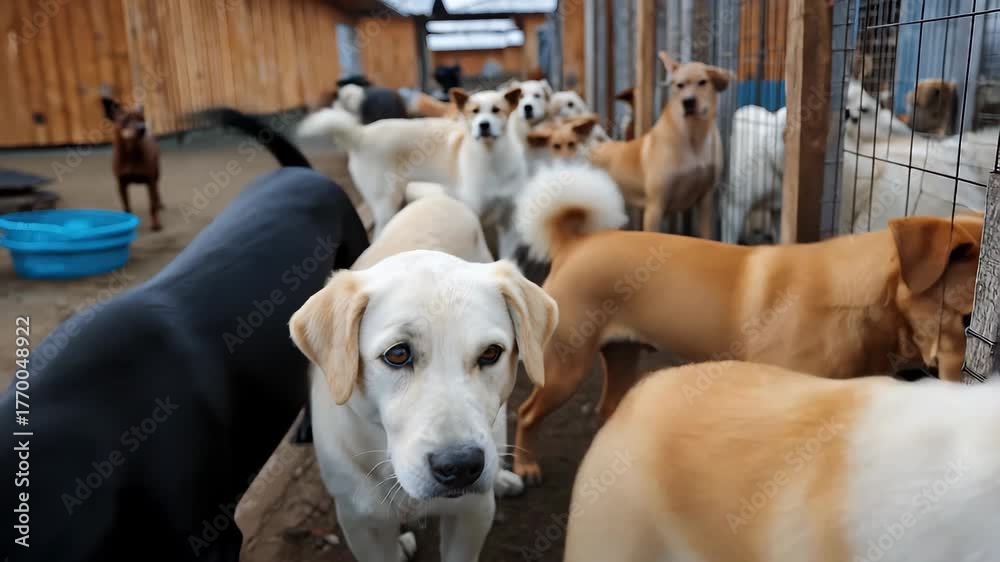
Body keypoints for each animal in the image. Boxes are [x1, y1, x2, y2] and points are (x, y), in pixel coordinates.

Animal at [103, 97, 162, 231]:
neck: (131, 153)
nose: (143, 128)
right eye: (125, 120)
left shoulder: (150, 181)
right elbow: (127, 206)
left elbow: (151, 205)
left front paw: (156, 223)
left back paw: (159, 203)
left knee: (157, 190)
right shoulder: (121, 184)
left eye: (142, 119)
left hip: (157, 173)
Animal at [289, 197, 557, 561]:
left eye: (491, 353)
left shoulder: (471, 514)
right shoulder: (361, 525)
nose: (460, 466)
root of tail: (436, 198)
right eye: (397, 354)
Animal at [297, 86, 526, 249]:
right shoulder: (472, 212)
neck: (493, 160)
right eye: (474, 112)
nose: (483, 125)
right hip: (386, 202)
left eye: (497, 110)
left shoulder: (508, 223)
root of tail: (361, 134)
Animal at [510, 164, 983, 484]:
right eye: (967, 319)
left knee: (606, 408)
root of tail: (576, 242)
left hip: (623, 355)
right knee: (526, 412)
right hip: (564, 370)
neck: (859, 299)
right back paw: (525, 465)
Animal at [588, 52, 731, 235]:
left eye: (703, 82)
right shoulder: (655, 207)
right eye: (679, 85)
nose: (688, 102)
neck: (693, 137)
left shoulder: (705, 201)